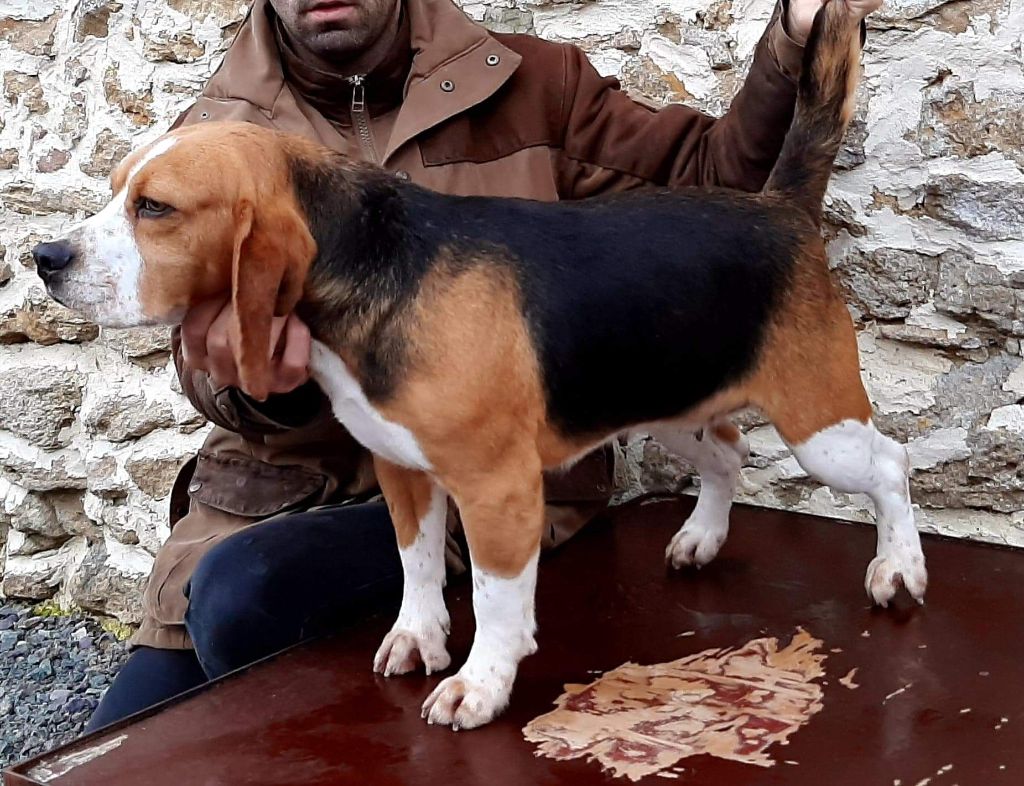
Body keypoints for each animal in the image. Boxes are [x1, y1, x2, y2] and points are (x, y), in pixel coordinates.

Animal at [36, 1, 925, 728]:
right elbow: (417, 564)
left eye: (155, 209)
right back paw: (702, 538)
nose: (45, 258)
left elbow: (497, 599)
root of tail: (779, 204)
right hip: (667, 404)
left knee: (890, 464)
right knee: (730, 456)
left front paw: (480, 684)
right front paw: (419, 638)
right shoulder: (405, 471)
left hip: (818, 424)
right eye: (115, 191)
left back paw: (898, 568)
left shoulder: (498, 489)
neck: (375, 260)